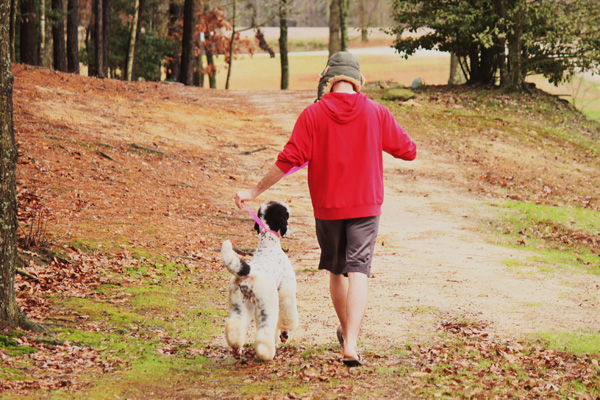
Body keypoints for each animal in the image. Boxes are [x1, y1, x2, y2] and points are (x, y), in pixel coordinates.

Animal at [221, 201, 298, 360]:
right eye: (286, 215)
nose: (288, 230)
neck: (269, 245)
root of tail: (247, 272)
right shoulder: (285, 293)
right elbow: (287, 316)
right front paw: (285, 333)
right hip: (266, 305)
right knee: (265, 331)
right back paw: (265, 352)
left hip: (239, 304)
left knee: (235, 324)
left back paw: (237, 347)